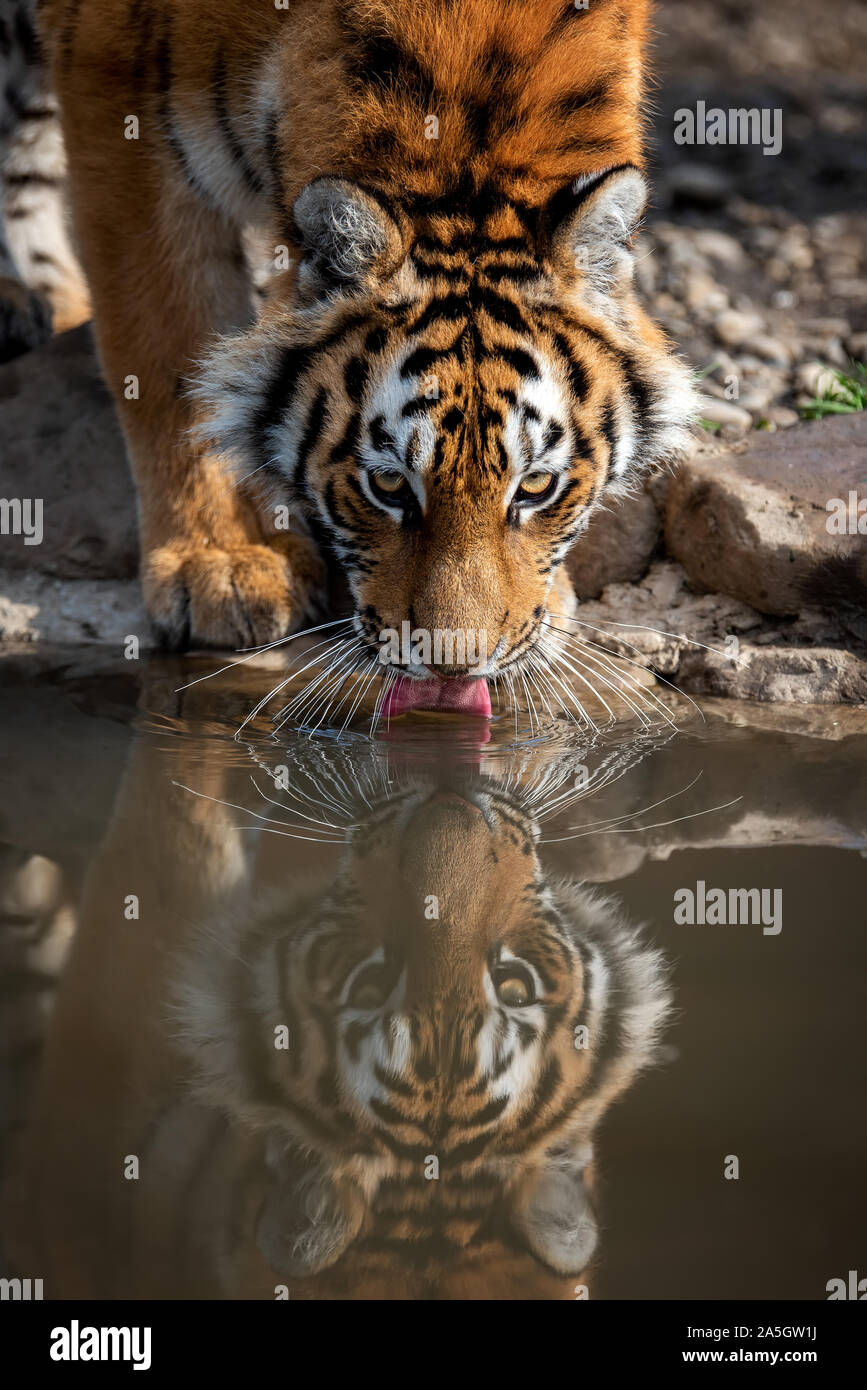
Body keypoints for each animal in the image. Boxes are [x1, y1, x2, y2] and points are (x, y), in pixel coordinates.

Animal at [22, 0, 697, 711]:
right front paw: (224, 561)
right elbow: (169, 357)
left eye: (537, 487)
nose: (454, 668)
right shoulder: (120, 97)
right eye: (388, 485)